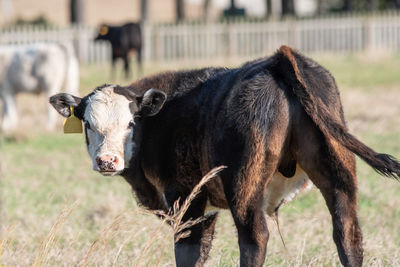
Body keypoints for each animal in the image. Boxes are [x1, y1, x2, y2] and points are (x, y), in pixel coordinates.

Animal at [50, 46, 400, 267]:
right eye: (88, 124)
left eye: (131, 123)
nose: (107, 161)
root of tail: (275, 61)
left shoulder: (185, 196)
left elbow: (189, 250)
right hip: (337, 170)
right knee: (348, 233)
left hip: (244, 183)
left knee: (254, 237)